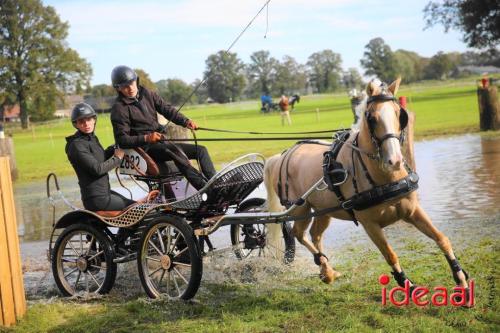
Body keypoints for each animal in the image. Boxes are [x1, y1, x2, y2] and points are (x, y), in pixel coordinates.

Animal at [264, 78, 470, 296]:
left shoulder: (412, 211)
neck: (384, 179)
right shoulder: (370, 224)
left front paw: (460, 277)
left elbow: (442, 239)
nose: (395, 161)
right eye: (372, 118)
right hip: (300, 209)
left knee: (315, 234)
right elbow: (390, 254)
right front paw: (407, 284)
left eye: (399, 114)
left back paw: (327, 270)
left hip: (323, 210)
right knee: (298, 234)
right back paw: (323, 266)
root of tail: (281, 156)